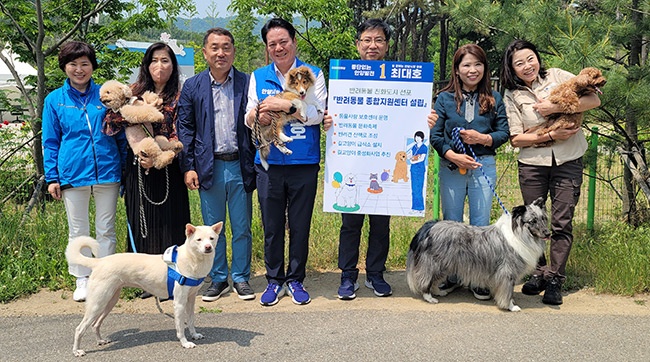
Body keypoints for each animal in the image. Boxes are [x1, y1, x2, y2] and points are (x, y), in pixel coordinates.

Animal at [66, 222, 223, 354]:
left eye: (212, 238)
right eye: (199, 240)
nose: (208, 247)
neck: (192, 260)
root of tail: (99, 262)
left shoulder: (190, 300)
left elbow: (190, 321)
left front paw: (194, 335)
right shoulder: (178, 303)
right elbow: (180, 328)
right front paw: (185, 343)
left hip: (109, 302)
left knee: (95, 324)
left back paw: (100, 340)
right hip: (97, 303)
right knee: (79, 329)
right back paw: (76, 351)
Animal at [408, 198, 548, 312]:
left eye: (543, 219)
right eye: (532, 221)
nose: (548, 233)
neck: (519, 234)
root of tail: (426, 228)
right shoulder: (507, 272)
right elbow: (508, 292)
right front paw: (511, 306)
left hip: (445, 265)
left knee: (434, 280)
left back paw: (438, 292)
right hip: (434, 264)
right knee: (425, 280)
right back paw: (429, 297)